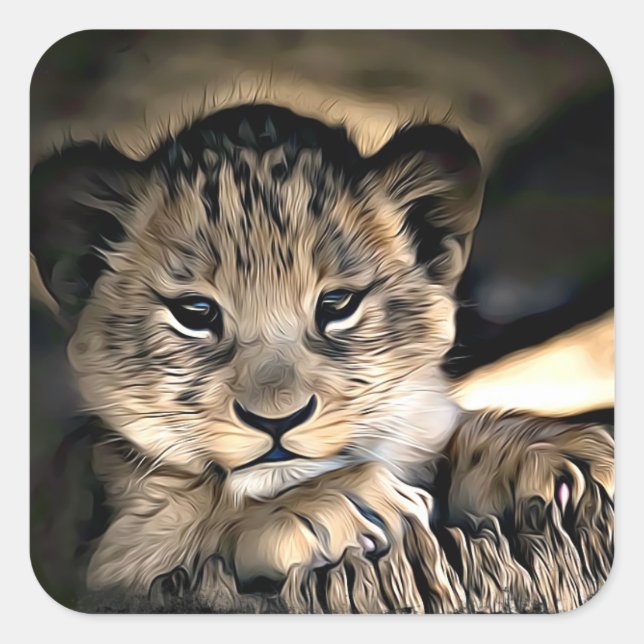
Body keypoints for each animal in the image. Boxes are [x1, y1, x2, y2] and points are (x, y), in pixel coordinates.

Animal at [30, 104, 613, 612]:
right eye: (195, 311)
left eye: (337, 304)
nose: (277, 420)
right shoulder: (104, 561)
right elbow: (199, 525)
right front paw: (336, 508)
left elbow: (453, 438)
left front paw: (563, 455)